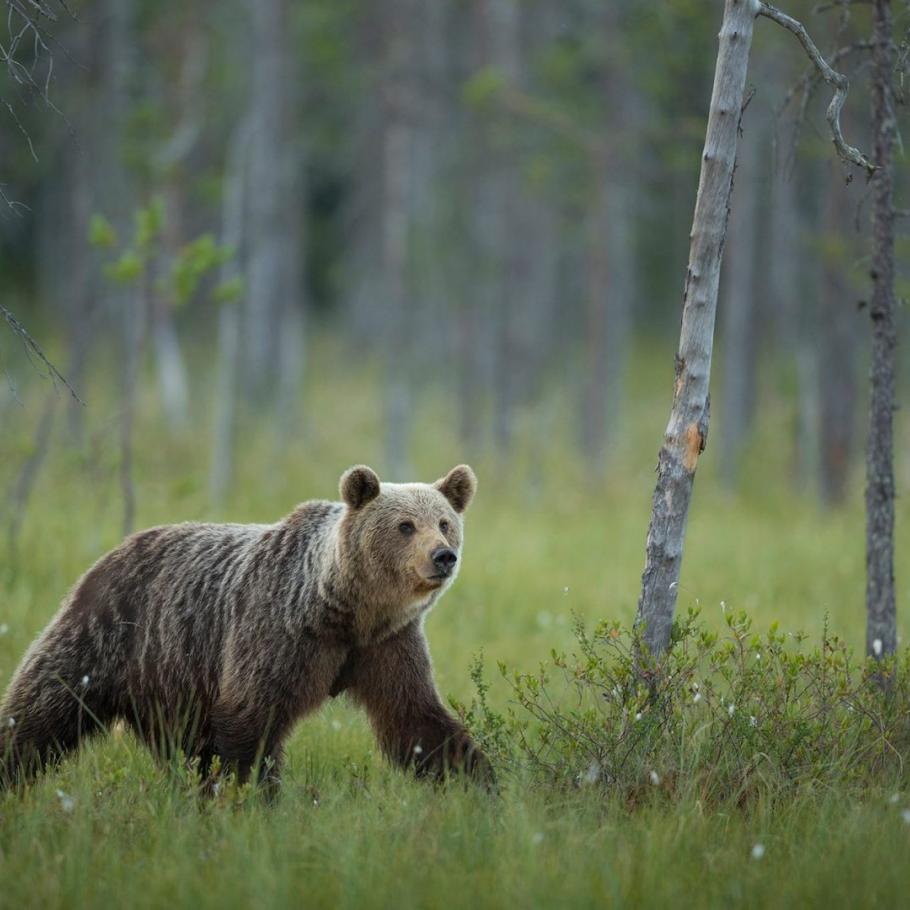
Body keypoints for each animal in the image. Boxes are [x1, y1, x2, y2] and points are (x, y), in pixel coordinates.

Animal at [0, 466, 492, 796]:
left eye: (445, 522)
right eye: (405, 526)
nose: (443, 555)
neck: (345, 610)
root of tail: (114, 550)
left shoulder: (385, 645)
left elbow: (415, 718)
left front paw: (479, 782)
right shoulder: (278, 632)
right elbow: (250, 719)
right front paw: (253, 797)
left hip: (171, 680)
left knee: (181, 748)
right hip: (109, 634)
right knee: (41, 710)